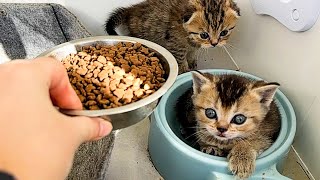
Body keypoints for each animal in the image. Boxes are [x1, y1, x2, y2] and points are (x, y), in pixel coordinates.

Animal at [105, 0, 240, 74]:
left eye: (224, 32)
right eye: (204, 35)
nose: (214, 43)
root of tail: (131, 10)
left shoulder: (193, 47)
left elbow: (192, 54)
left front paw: (192, 63)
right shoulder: (176, 46)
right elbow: (181, 60)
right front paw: (185, 71)